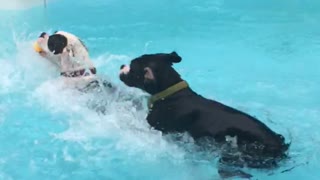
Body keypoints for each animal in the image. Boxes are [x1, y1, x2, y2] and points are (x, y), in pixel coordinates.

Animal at [119, 51, 288, 178]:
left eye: (132, 68)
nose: (121, 66)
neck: (171, 93)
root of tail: (280, 147)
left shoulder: (155, 126)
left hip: (230, 158)